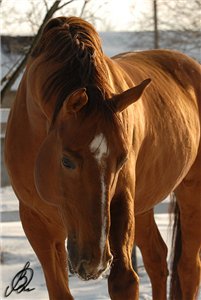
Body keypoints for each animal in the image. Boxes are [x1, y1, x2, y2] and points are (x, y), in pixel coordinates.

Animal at [4, 17, 201, 300]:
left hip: (190, 191)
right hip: (144, 205)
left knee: (187, 268)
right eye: (66, 161)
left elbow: (124, 281)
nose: (94, 261)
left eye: (122, 160)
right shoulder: (36, 222)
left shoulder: (120, 201)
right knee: (157, 258)